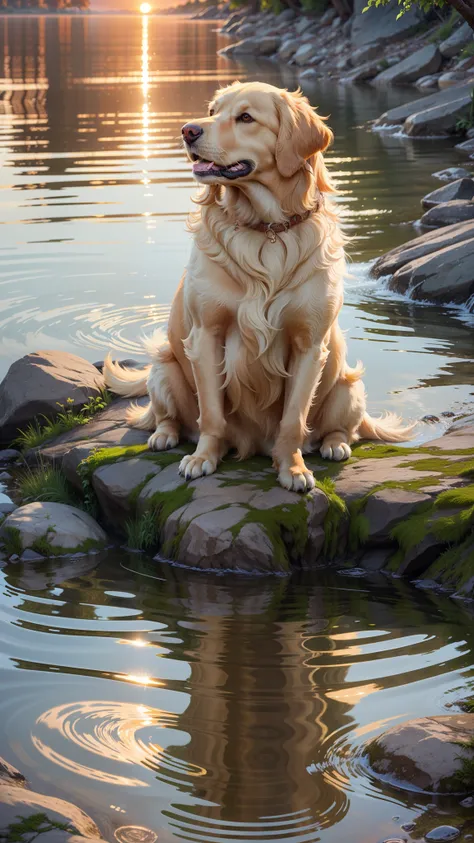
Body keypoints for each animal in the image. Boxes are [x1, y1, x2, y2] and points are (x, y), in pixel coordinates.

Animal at [103, 82, 412, 492]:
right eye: (213, 111)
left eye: (246, 117)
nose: (187, 130)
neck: (266, 227)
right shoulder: (206, 333)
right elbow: (211, 414)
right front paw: (203, 458)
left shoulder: (309, 344)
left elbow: (293, 418)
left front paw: (292, 468)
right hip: (164, 369)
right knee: (166, 415)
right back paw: (164, 435)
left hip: (348, 386)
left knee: (345, 429)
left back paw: (334, 445)